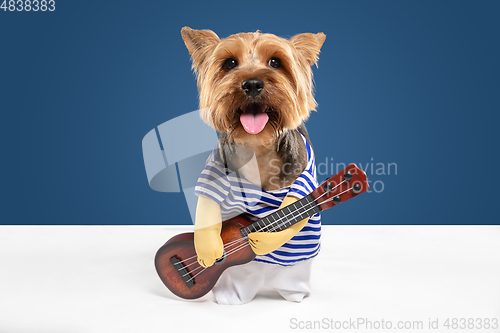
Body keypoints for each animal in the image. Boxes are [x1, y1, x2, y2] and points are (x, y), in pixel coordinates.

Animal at [182, 27, 326, 304]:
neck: (257, 147)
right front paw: (207, 249)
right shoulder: (215, 169)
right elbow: (208, 202)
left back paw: (294, 293)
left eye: (275, 62)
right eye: (230, 63)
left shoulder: (303, 177)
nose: (252, 84)